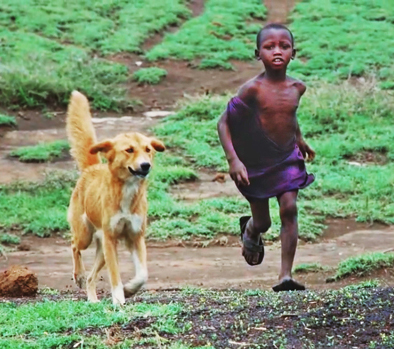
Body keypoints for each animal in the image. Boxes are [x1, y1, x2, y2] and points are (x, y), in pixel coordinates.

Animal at [65, 91, 164, 304]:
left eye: (148, 150)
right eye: (129, 150)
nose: (146, 165)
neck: (126, 192)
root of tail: (91, 168)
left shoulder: (135, 237)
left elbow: (143, 274)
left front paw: (129, 290)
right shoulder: (111, 239)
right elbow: (115, 274)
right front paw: (119, 299)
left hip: (101, 248)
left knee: (92, 276)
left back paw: (93, 300)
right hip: (86, 235)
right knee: (74, 246)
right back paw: (79, 275)